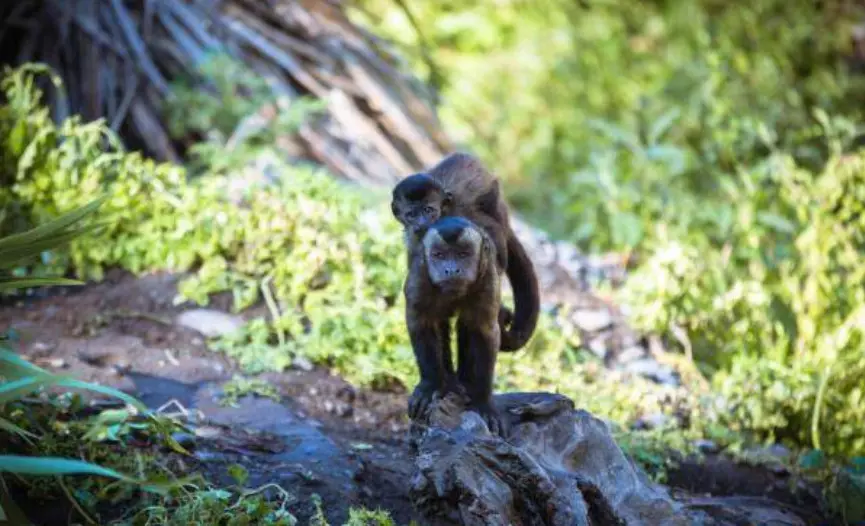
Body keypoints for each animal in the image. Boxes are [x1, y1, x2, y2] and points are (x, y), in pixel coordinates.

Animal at [390, 152, 536, 354]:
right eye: (412, 214)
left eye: (428, 210)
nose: (421, 223)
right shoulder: (413, 240)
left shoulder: (461, 215)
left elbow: (491, 234)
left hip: (495, 198)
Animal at [406, 217, 506, 436]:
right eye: (439, 255)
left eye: (462, 254)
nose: (451, 270)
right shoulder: (420, 273)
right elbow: (420, 321)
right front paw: (430, 385)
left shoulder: (487, 274)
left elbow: (485, 330)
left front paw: (483, 401)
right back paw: (448, 382)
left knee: (467, 324)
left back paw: (464, 382)